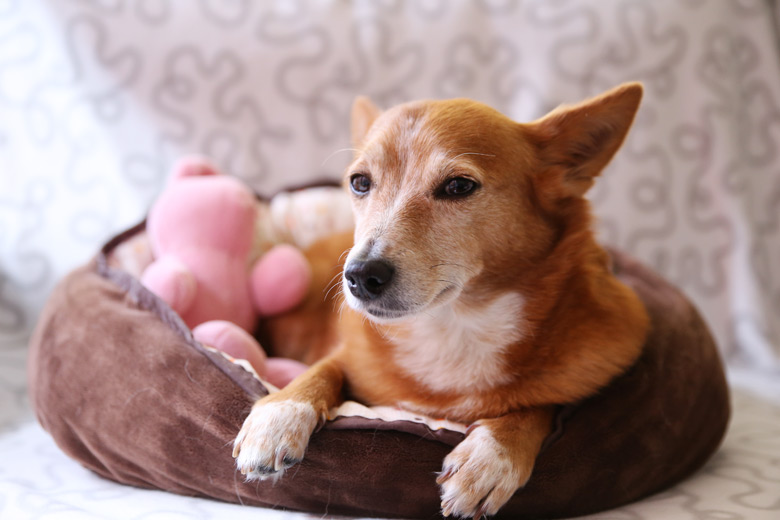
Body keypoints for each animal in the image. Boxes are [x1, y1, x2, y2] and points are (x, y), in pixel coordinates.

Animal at [235, 83, 648, 516]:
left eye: (459, 186)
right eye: (360, 182)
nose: (360, 275)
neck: (456, 325)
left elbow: (538, 406)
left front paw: (492, 455)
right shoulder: (348, 357)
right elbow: (321, 370)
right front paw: (279, 414)